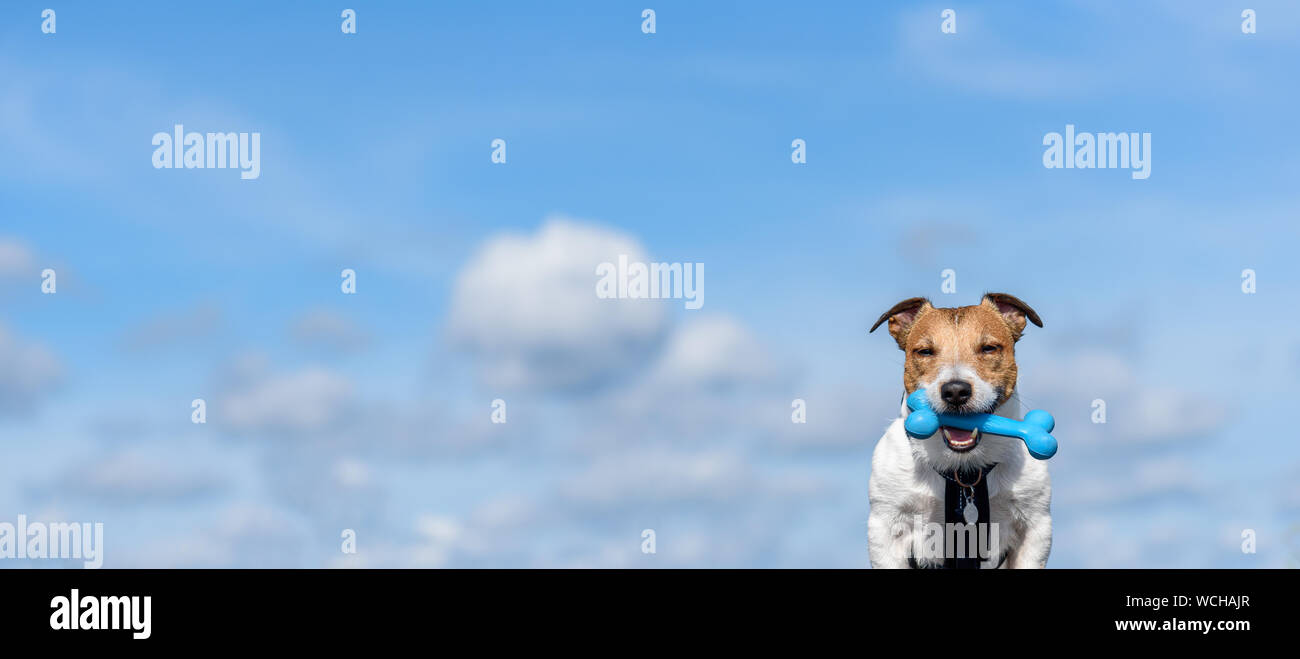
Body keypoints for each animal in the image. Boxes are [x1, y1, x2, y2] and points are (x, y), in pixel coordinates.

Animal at [868, 291, 1050, 569]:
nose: (955, 391)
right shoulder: (886, 528)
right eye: (925, 351)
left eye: (988, 348)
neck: (963, 473)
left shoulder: (1034, 526)